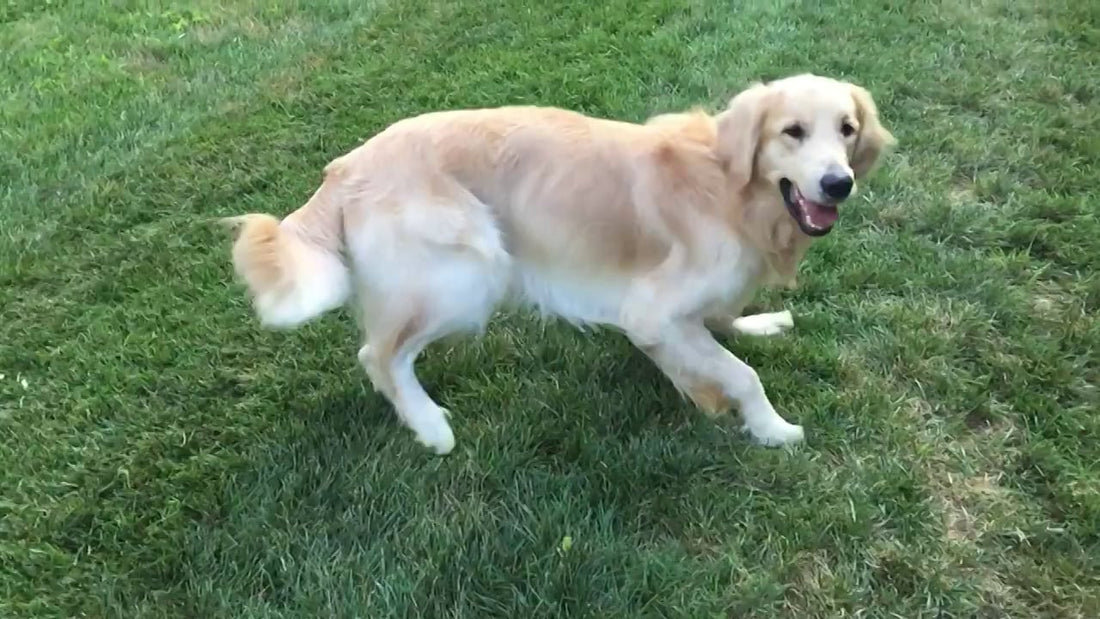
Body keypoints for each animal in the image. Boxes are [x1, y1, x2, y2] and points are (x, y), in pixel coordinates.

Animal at [221, 73, 893, 455]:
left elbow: (719, 326)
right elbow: (742, 374)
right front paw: (773, 429)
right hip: (473, 270)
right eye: (792, 132)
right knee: (379, 355)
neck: (732, 190)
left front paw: (748, 334)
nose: (838, 184)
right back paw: (431, 429)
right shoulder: (649, 311)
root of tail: (346, 165)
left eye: (847, 128)